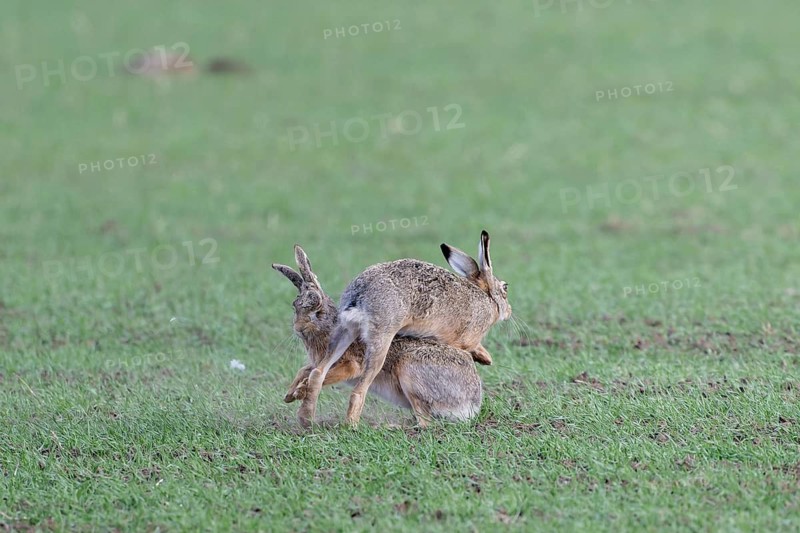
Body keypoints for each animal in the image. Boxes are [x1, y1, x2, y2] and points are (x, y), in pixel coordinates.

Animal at [299, 230, 510, 426]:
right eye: (506, 288)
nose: (508, 311)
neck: (487, 298)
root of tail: (360, 294)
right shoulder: (463, 340)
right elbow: (470, 348)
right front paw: (485, 357)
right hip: (381, 337)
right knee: (361, 390)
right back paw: (354, 426)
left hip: (344, 330)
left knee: (317, 372)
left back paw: (306, 418)